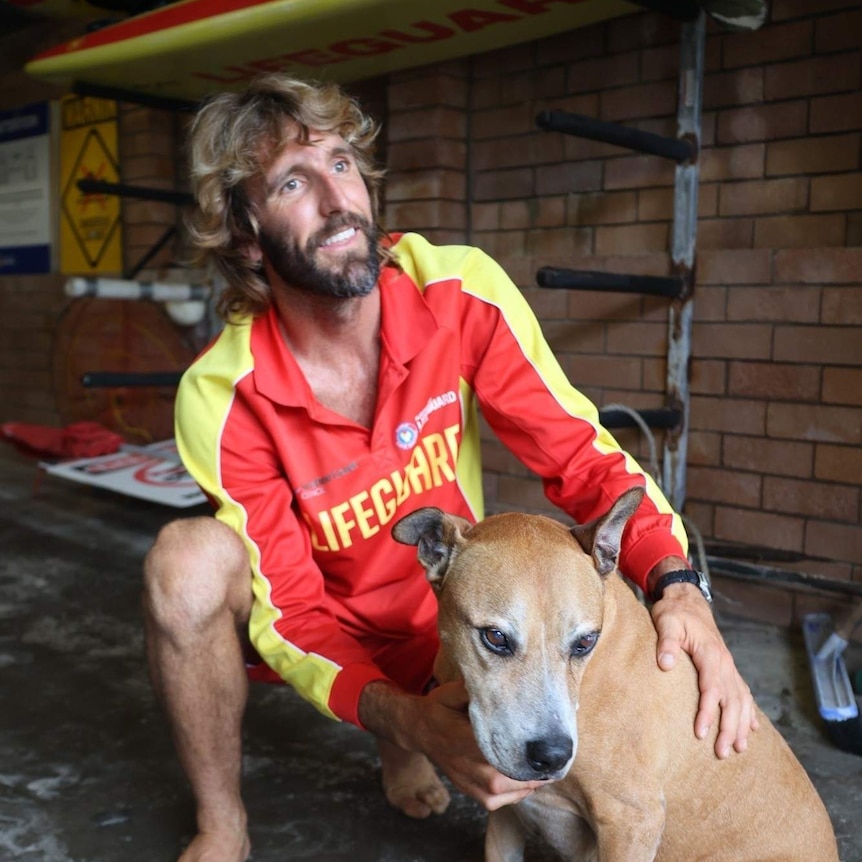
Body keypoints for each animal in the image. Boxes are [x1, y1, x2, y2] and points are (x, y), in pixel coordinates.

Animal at [394, 490, 840, 862]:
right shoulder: (506, 814)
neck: (587, 684)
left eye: (585, 642)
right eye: (495, 637)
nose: (553, 755)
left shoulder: (631, 821)